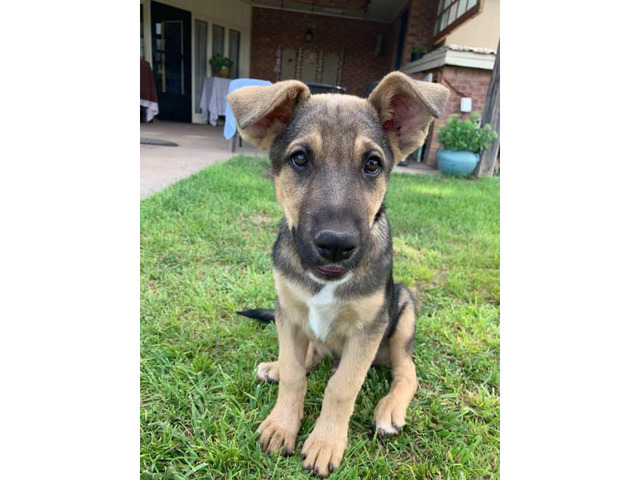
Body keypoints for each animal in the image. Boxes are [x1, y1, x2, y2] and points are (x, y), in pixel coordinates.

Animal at [228, 72, 448, 476]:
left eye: (372, 164)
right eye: (299, 159)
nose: (335, 244)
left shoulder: (368, 329)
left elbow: (342, 387)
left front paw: (325, 442)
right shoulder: (288, 313)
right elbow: (295, 375)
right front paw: (282, 424)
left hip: (404, 308)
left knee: (406, 371)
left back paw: (389, 409)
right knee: (308, 356)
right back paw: (276, 366)